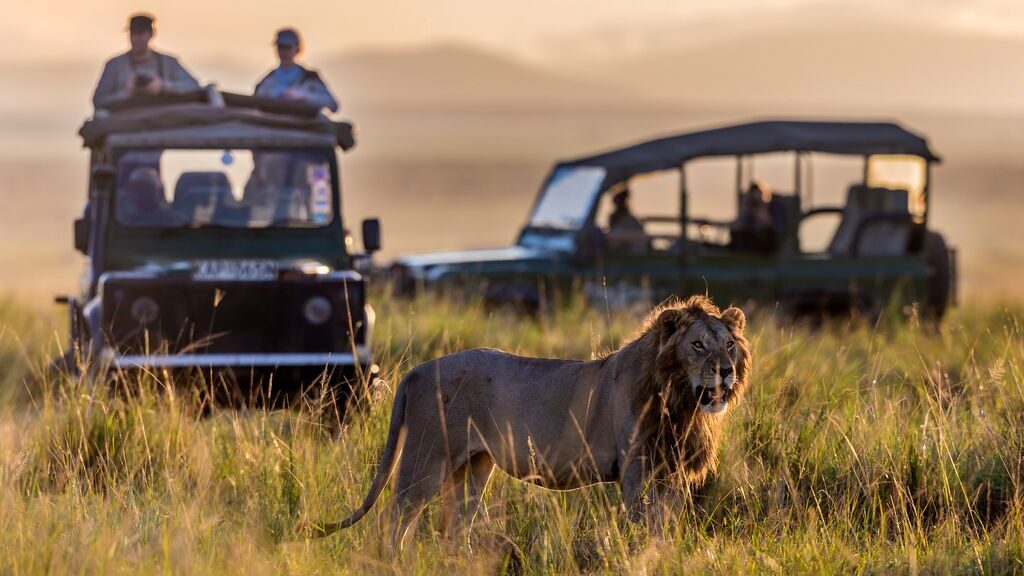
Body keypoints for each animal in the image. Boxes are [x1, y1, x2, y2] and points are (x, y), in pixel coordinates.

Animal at [311, 295, 751, 549]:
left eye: (729, 344)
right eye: (698, 345)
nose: (726, 371)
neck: (680, 402)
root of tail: (416, 370)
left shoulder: (672, 472)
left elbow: (668, 529)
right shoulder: (636, 471)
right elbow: (645, 530)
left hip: (472, 469)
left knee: (454, 530)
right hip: (424, 461)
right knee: (392, 523)